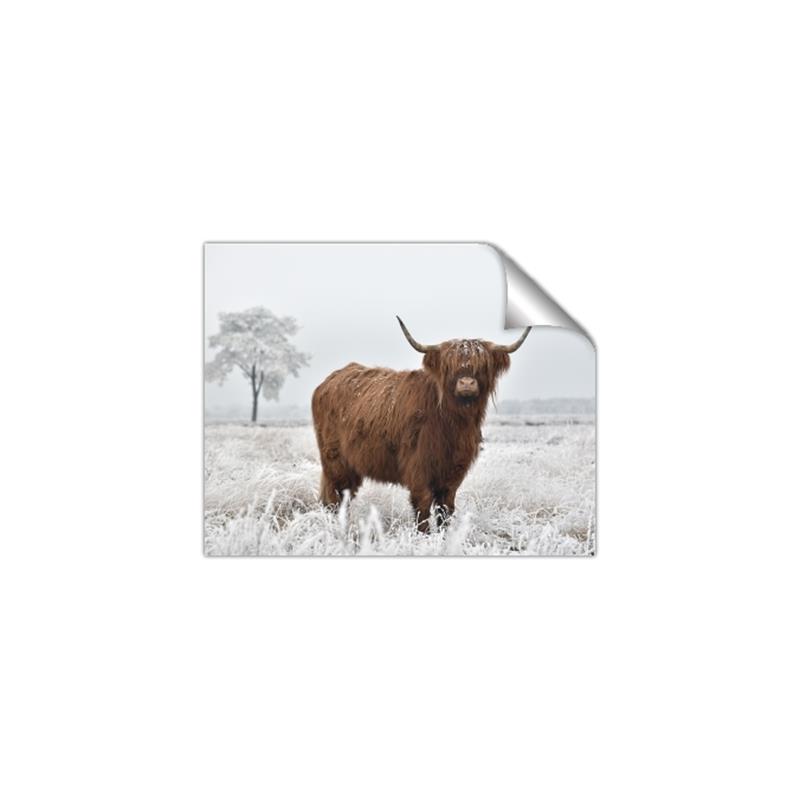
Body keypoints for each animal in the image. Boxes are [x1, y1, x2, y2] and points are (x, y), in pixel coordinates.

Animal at [311, 317, 531, 531]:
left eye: (483, 365)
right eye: (448, 366)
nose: (467, 383)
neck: (453, 424)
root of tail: (329, 380)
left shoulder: (453, 473)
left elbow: (445, 510)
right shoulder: (418, 469)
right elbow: (423, 509)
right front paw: (424, 537)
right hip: (335, 461)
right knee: (335, 497)